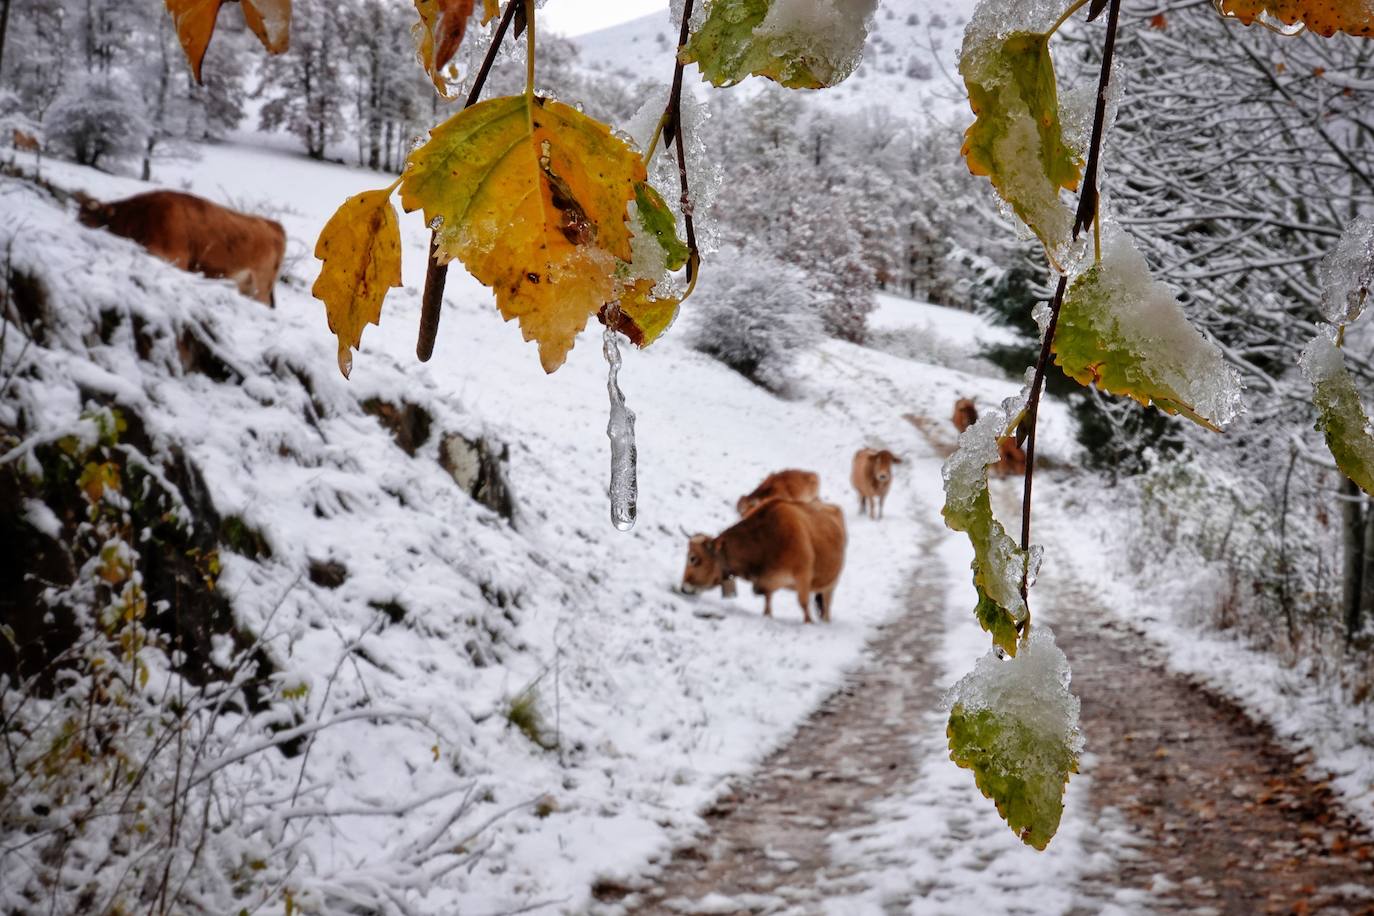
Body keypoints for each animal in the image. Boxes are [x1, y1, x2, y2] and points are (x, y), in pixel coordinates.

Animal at [76, 192, 285, 306]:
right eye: (78, 215)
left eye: (87, 218)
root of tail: (272, 224)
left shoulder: (175, 258)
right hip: (246, 285)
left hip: (261, 285)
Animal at [678, 502, 840, 623]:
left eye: (693, 558)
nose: (683, 587)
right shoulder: (767, 579)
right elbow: (767, 599)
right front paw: (767, 615)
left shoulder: (803, 575)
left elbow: (803, 603)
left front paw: (808, 622)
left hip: (831, 584)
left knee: (826, 603)